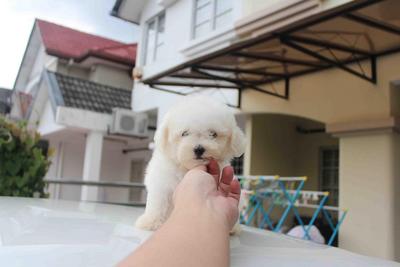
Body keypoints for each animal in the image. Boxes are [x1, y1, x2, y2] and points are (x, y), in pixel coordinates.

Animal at [136, 97, 245, 232]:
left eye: (213, 134)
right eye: (184, 133)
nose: (199, 149)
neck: (186, 168)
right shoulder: (161, 183)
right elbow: (158, 202)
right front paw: (150, 222)